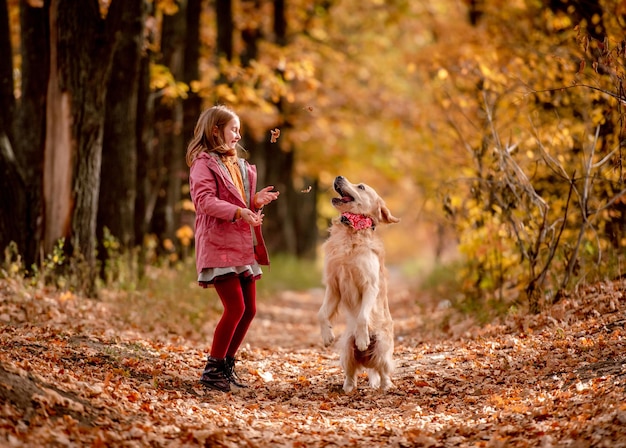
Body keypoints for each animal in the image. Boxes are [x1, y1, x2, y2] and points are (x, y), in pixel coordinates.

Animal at [316, 175, 400, 392]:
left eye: (361, 187)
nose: (338, 177)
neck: (352, 230)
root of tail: (366, 361)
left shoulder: (370, 285)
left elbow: (363, 316)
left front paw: (363, 339)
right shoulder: (333, 286)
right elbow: (321, 313)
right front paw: (326, 336)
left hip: (382, 347)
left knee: (383, 371)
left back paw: (385, 386)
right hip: (346, 348)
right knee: (351, 373)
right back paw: (347, 388)